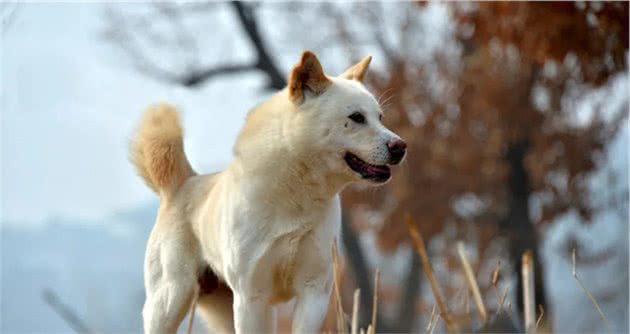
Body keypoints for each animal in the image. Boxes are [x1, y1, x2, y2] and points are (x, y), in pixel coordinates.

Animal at [132, 51, 410, 332]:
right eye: (356, 117)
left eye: (381, 118)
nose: (401, 146)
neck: (297, 195)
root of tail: (182, 184)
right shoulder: (251, 297)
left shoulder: (314, 292)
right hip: (169, 302)